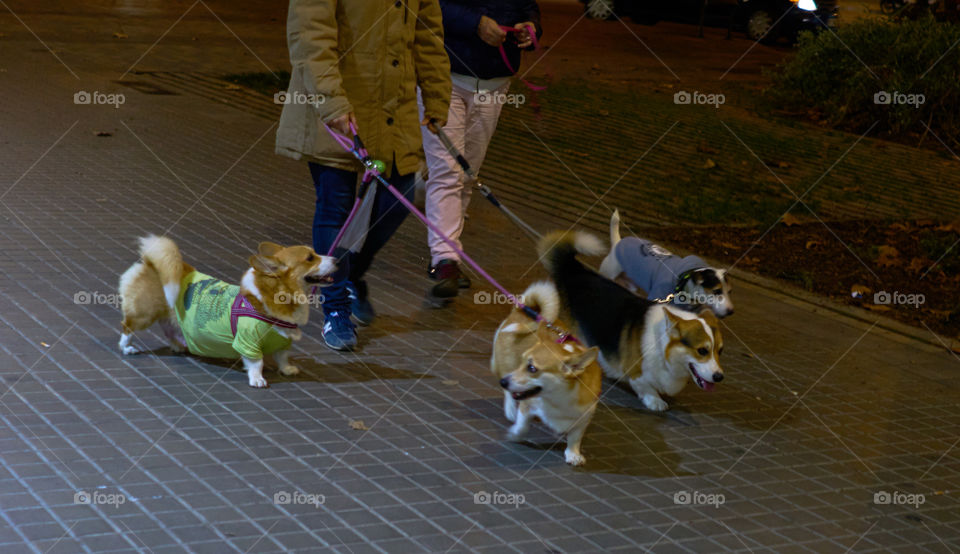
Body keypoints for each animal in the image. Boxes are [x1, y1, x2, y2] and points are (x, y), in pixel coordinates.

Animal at [118, 235, 336, 386]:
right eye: (310, 258)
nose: (337, 260)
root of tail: (150, 264)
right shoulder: (248, 340)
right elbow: (256, 363)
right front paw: (257, 379)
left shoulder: (284, 341)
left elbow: (282, 357)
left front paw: (287, 369)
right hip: (144, 315)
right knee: (127, 326)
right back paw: (127, 347)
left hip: (169, 316)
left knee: (169, 329)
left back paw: (178, 345)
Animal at [496, 280, 600, 466]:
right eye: (524, 363)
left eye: (532, 368)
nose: (504, 382)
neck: (558, 398)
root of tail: (524, 311)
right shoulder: (527, 404)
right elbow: (523, 424)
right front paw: (515, 433)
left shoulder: (583, 417)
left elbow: (575, 438)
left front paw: (573, 454)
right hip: (506, 367)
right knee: (508, 392)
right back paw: (510, 409)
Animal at [536, 229, 724, 410]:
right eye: (702, 351)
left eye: (720, 351)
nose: (720, 377)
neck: (662, 343)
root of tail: (573, 269)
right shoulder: (635, 372)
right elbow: (646, 386)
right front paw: (655, 401)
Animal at [600, 209, 736, 316]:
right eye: (717, 291)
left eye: (729, 292)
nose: (731, 311)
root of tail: (618, 243)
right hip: (608, 272)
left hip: (630, 283)